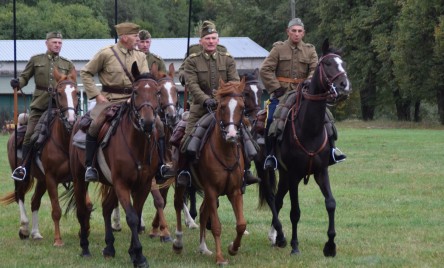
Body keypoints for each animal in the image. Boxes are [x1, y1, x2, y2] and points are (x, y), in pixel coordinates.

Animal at [0, 66, 79, 245]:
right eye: (59, 93)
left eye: (77, 93)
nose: (71, 120)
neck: (63, 140)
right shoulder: (51, 178)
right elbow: (56, 209)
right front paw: (58, 240)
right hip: (23, 175)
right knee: (20, 195)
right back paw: (24, 228)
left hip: (41, 180)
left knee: (34, 201)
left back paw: (35, 233)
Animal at [67, 62, 160, 268]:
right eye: (135, 91)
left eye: (157, 92)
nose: (148, 122)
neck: (137, 144)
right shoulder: (121, 184)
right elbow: (132, 217)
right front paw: (139, 255)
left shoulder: (142, 185)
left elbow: (136, 214)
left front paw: (133, 253)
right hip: (79, 179)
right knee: (82, 211)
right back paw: (85, 248)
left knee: (106, 207)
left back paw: (109, 247)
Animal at [173, 78, 248, 266]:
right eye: (222, 107)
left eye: (242, 107)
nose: (231, 135)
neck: (225, 153)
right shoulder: (212, 191)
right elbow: (216, 226)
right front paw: (220, 257)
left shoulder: (235, 191)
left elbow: (241, 224)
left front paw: (233, 248)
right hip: (180, 182)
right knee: (178, 204)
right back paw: (178, 242)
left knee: (202, 211)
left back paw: (203, 248)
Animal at [258, 39, 352, 255]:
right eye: (328, 64)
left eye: (342, 63)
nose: (344, 86)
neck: (309, 129)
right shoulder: (294, 174)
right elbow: (295, 212)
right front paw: (295, 246)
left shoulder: (321, 171)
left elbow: (331, 203)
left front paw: (330, 245)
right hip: (266, 169)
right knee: (271, 197)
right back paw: (280, 236)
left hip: (284, 175)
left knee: (278, 199)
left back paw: (276, 236)